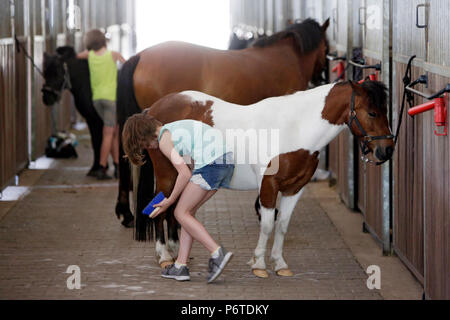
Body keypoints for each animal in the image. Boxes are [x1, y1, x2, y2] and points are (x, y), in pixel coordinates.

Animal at [129, 80, 394, 278]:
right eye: (372, 112)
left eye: (386, 111)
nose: (387, 151)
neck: (294, 128)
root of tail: (153, 111)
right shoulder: (268, 186)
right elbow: (267, 225)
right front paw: (258, 264)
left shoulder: (295, 189)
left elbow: (282, 225)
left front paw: (280, 264)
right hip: (168, 175)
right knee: (163, 209)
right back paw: (165, 256)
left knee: (174, 209)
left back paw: (175, 251)